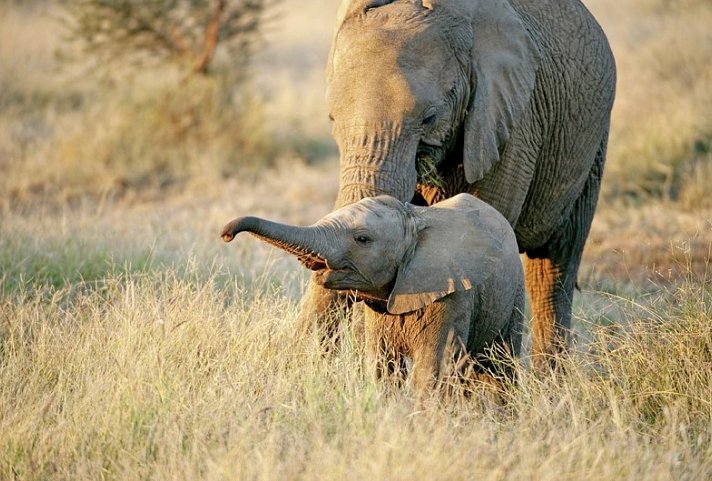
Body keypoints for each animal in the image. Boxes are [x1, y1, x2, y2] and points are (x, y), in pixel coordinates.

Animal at [221, 193, 524, 388]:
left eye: (362, 239)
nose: (226, 234)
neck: (414, 217)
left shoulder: (452, 293)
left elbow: (432, 367)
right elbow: (382, 366)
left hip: (515, 294)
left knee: (500, 368)